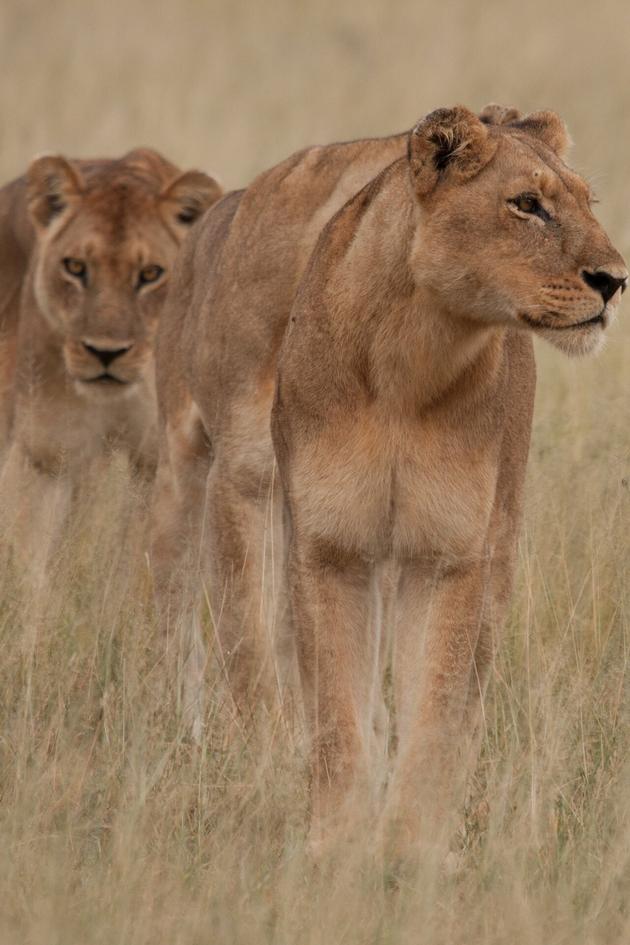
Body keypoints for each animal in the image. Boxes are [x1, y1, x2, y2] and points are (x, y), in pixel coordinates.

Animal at [150, 106, 626, 855]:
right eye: (527, 204)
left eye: (586, 202)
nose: (615, 280)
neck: (410, 356)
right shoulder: (327, 542)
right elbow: (326, 701)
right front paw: (335, 841)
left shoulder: (451, 552)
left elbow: (435, 704)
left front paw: (411, 848)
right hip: (196, 475)